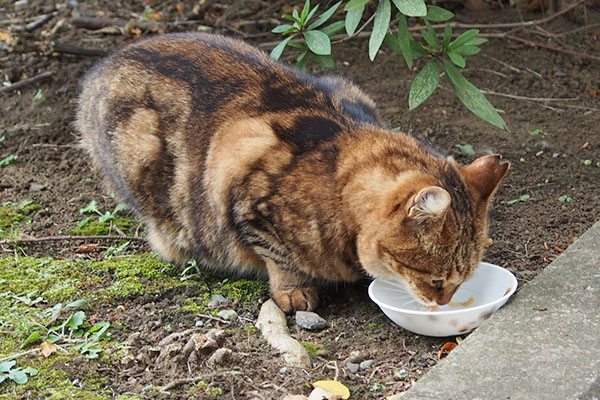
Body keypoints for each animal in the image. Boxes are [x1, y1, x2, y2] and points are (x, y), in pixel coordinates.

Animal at [74, 32, 506, 312]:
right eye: (437, 280)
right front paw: (294, 290)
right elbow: (280, 256)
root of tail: (103, 64)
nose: (443, 302)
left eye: (462, 280)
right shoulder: (244, 187)